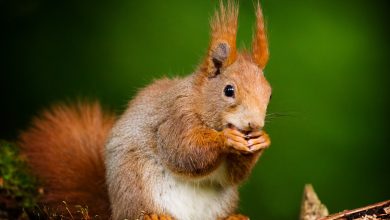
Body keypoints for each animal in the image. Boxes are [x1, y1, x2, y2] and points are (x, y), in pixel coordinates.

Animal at [17, 1, 272, 220]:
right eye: (229, 90)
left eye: (269, 93)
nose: (254, 124)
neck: (199, 101)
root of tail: (115, 209)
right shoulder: (175, 116)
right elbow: (183, 150)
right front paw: (226, 138)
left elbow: (233, 176)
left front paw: (262, 140)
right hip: (137, 184)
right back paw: (154, 215)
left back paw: (233, 217)